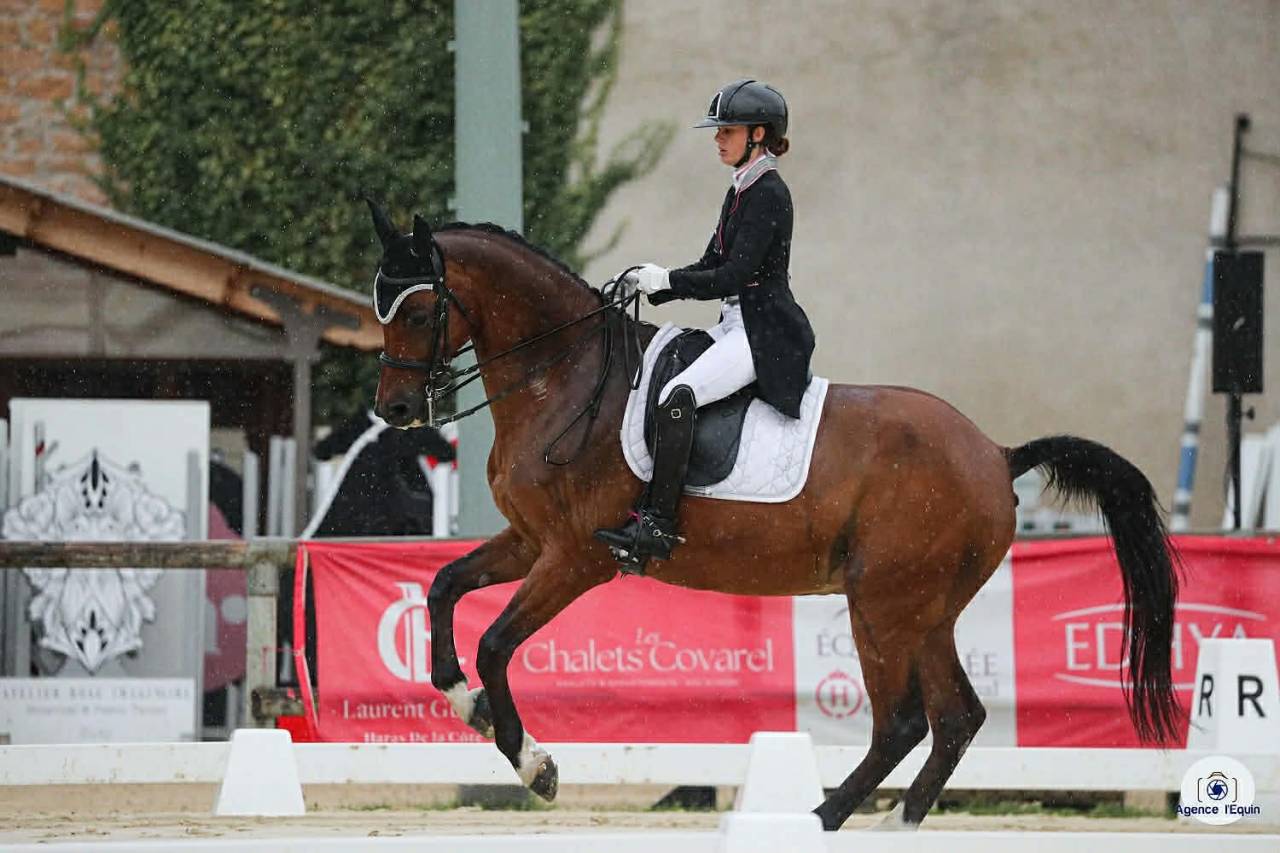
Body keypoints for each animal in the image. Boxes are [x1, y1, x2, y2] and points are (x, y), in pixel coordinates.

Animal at [367, 205, 1181, 831]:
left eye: (418, 308)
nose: (396, 410)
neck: (564, 377)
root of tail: (996, 452)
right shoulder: (529, 540)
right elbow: (442, 589)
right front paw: (465, 701)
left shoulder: (575, 557)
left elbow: (497, 642)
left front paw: (533, 762)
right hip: (925, 610)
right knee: (955, 717)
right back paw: (893, 823)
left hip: (884, 604)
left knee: (903, 722)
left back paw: (818, 819)